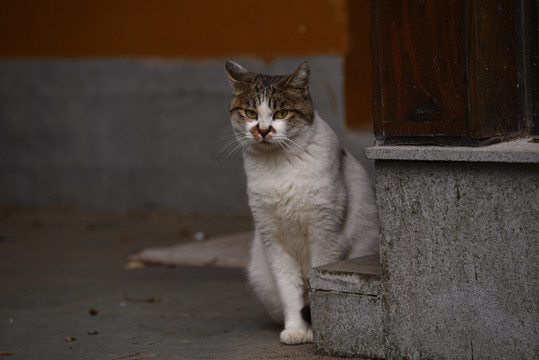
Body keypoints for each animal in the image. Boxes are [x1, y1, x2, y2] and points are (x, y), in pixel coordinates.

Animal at [226, 60, 378, 344]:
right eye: (250, 113)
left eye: (282, 113)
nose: (263, 130)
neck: (279, 166)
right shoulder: (272, 240)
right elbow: (290, 288)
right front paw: (296, 329)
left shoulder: (326, 234)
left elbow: (314, 281)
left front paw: (316, 331)